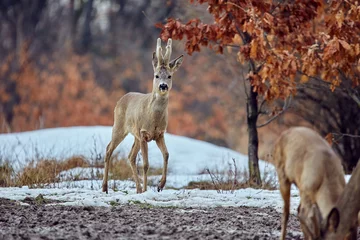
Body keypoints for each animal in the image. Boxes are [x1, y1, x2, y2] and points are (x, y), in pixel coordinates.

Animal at [102, 38, 184, 194]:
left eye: (169, 76)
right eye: (156, 75)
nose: (163, 86)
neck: (154, 118)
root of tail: (121, 99)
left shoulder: (159, 134)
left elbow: (166, 155)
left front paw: (160, 185)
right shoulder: (144, 133)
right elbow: (146, 164)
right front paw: (147, 189)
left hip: (135, 135)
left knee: (130, 156)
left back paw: (138, 189)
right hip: (119, 126)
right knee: (109, 149)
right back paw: (105, 188)